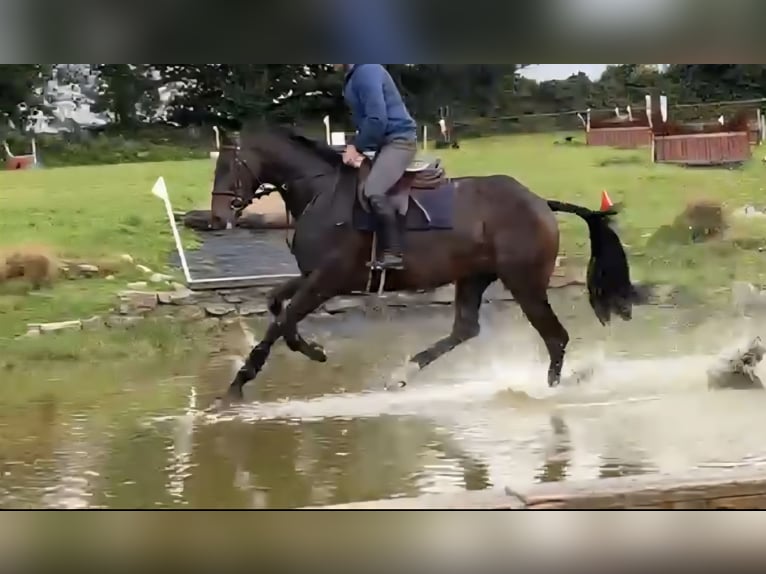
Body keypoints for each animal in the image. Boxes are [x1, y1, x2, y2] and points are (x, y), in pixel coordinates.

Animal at [210, 124, 638, 402]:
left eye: (229, 166)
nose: (216, 218)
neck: (321, 193)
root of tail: (539, 201)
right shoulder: (312, 276)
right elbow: (275, 304)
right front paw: (311, 349)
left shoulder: (327, 279)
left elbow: (280, 321)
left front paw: (237, 386)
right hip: (474, 277)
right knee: (465, 329)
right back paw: (403, 375)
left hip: (524, 282)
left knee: (555, 337)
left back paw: (551, 390)